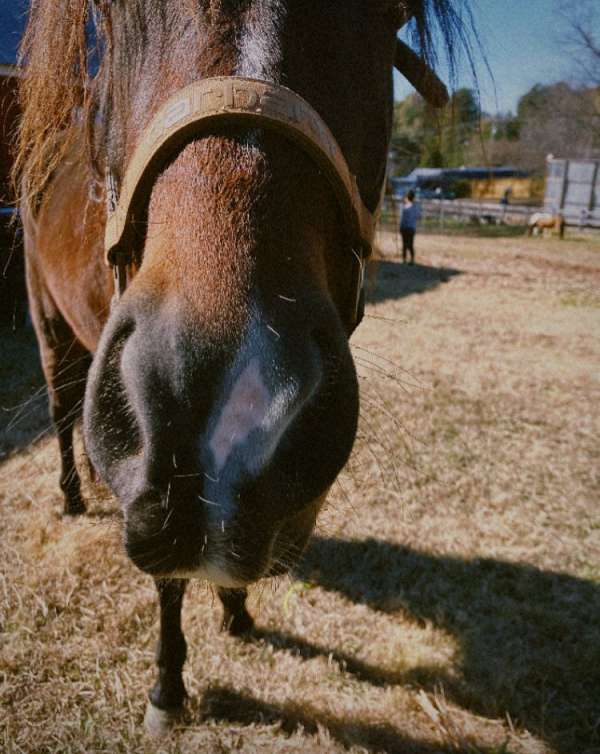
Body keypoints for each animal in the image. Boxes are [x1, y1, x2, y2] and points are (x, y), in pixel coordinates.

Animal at [15, 0, 468, 735]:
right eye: (106, 11)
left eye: (394, 11)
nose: (229, 400)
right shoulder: (154, 476)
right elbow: (168, 576)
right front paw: (168, 687)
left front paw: (236, 611)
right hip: (49, 326)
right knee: (60, 411)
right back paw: (71, 496)